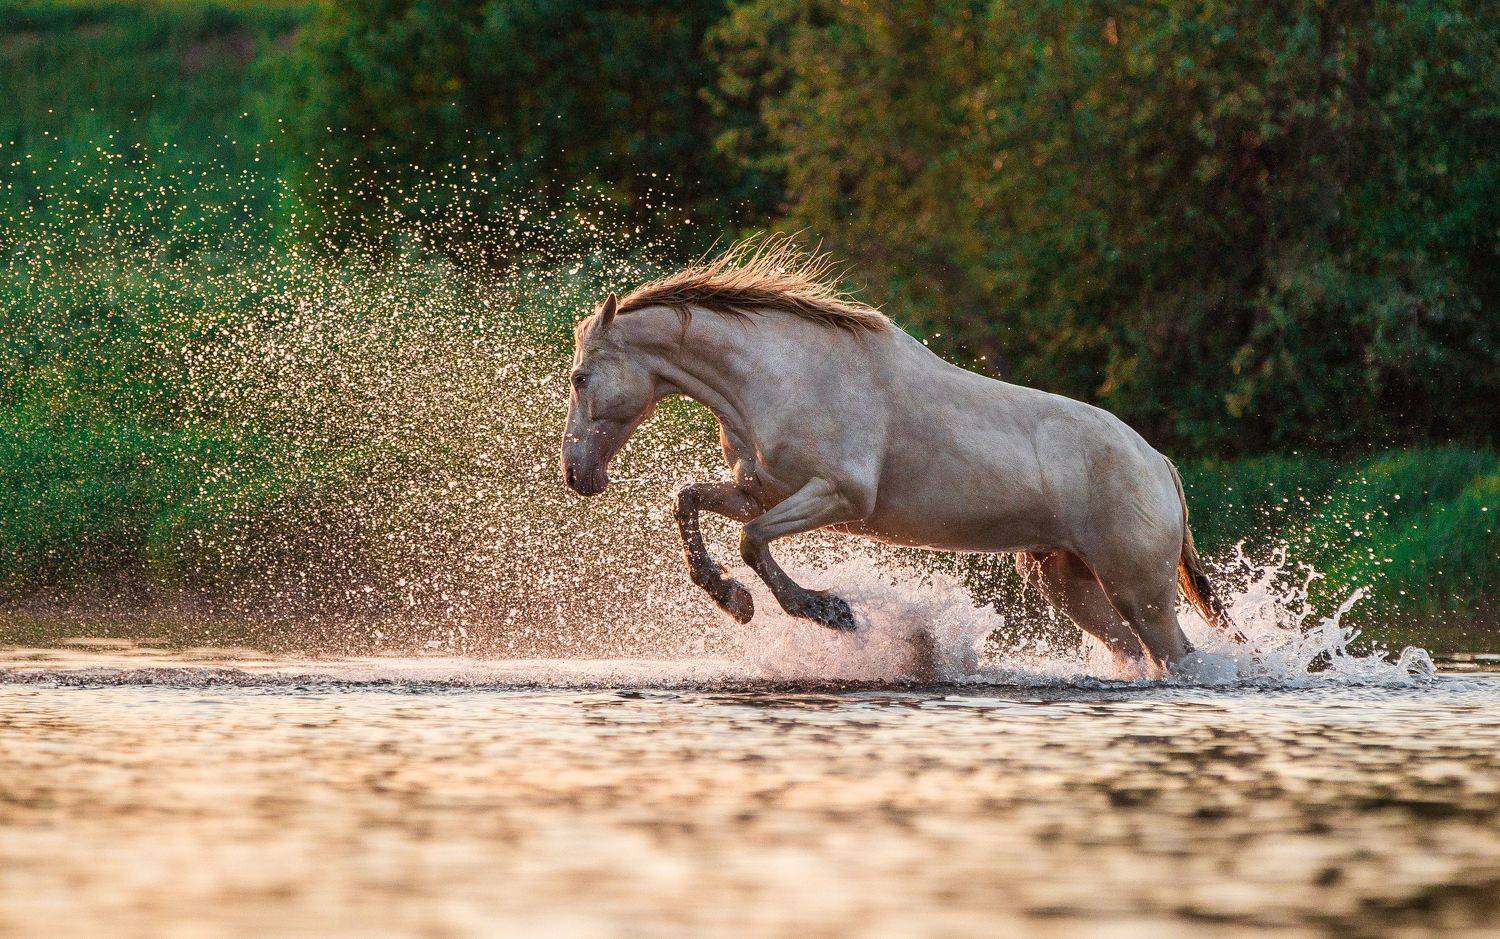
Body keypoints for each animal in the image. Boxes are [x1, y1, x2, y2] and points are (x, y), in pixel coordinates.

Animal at [560, 238, 1239, 674]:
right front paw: (729, 596)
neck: (781, 375)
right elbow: (689, 502)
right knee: (1137, 655)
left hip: (1138, 587)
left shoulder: (837, 494)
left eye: (579, 378)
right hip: (1072, 584)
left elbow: (753, 541)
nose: (576, 475)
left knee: (1177, 656)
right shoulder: (761, 489)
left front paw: (824, 610)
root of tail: (1159, 464)